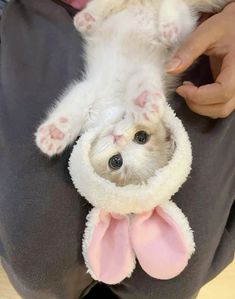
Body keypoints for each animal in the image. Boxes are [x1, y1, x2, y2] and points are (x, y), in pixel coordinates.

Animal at [35, 0, 230, 186]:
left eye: (116, 161)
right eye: (141, 137)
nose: (118, 138)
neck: (111, 109)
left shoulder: (150, 70)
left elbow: (142, 78)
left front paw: (145, 102)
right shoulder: (92, 88)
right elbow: (75, 105)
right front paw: (53, 133)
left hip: (185, 34)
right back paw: (89, 18)